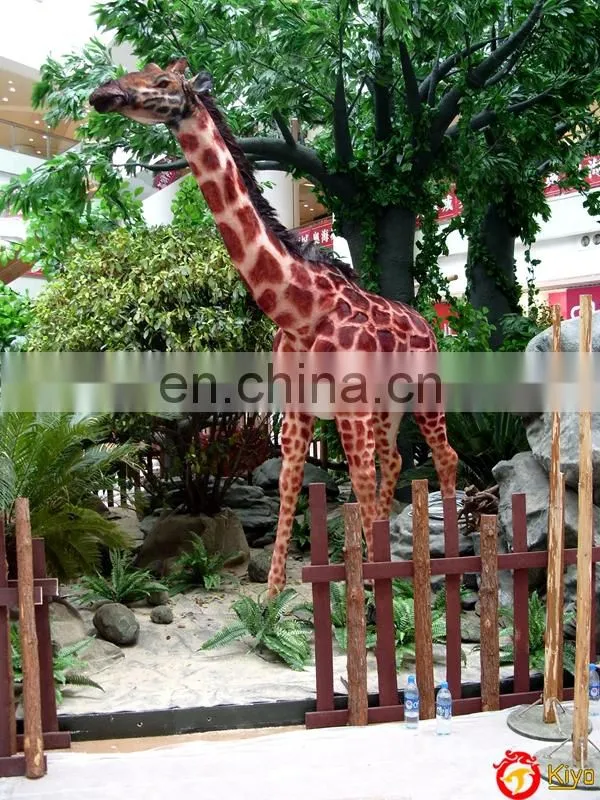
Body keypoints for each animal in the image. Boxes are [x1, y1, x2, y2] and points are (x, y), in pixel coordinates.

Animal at [89, 59, 458, 596]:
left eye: (162, 82)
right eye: (136, 69)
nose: (103, 94)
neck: (300, 310)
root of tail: (427, 324)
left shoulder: (347, 410)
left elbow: (357, 483)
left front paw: (371, 592)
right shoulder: (297, 407)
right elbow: (289, 483)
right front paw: (271, 595)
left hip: (424, 392)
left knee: (444, 457)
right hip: (387, 405)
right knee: (393, 461)